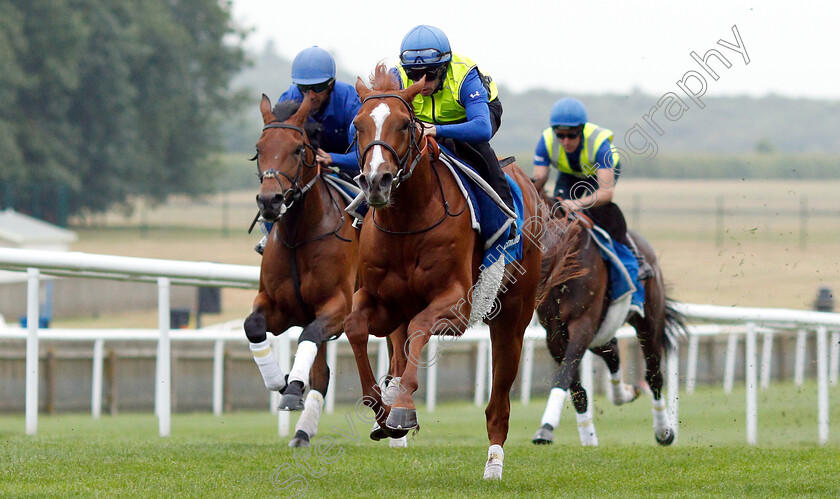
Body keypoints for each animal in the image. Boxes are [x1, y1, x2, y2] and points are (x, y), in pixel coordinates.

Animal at [243, 93, 406, 450]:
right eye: (259, 149)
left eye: (297, 149)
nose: (269, 201)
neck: (298, 236)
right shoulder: (279, 307)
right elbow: (254, 327)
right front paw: (283, 382)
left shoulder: (338, 307)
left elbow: (310, 336)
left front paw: (292, 387)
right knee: (323, 372)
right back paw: (303, 430)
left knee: (400, 356)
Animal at [344, 64, 580, 478]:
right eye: (358, 125)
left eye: (404, 123)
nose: (376, 181)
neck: (408, 220)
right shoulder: (381, 301)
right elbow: (356, 327)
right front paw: (382, 409)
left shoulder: (457, 305)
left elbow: (421, 327)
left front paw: (402, 409)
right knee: (399, 346)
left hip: (512, 317)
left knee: (498, 402)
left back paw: (494, 463)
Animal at [532, 201, 688, 448]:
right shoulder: (554, 333)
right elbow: (574, 385)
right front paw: (587, 437)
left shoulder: (583, 324)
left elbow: (565, 374)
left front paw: (546, 427)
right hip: (602, 330)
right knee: (612, 351)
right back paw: (623, 394)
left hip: (648, 323)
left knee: (654, 376)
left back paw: (664, 431)